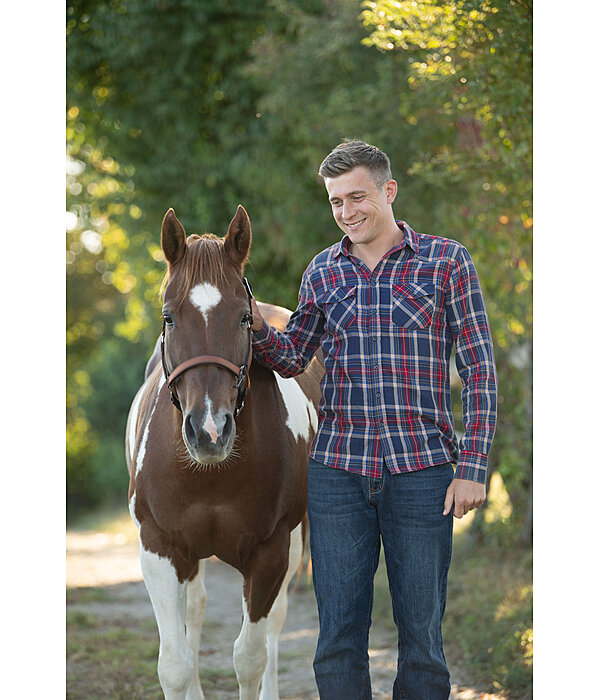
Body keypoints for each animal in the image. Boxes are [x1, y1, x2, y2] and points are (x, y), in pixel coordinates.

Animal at [125, 208, 324, 700]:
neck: (212, 475)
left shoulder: (270, 553)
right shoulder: (158, 547)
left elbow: (250, 658)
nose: (209, 431)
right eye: (169, 317)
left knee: (273, 626)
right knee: (195, 612)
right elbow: (174, 663)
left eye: (243, 318)